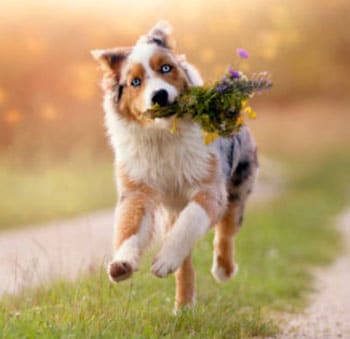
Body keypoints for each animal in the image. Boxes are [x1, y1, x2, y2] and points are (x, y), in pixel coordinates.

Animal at [91, 21, 258, 314]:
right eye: (135, 82)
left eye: (166, 68)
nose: (159, 95)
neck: (164, 134)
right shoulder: (138, 189)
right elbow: (129, 227)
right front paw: (122, 264)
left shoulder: (210, 186)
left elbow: (193, 220)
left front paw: (164, 259)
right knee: (185, 264)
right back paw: (184, 307)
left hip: (238, 186)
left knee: (225, 230)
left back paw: (221, 270)